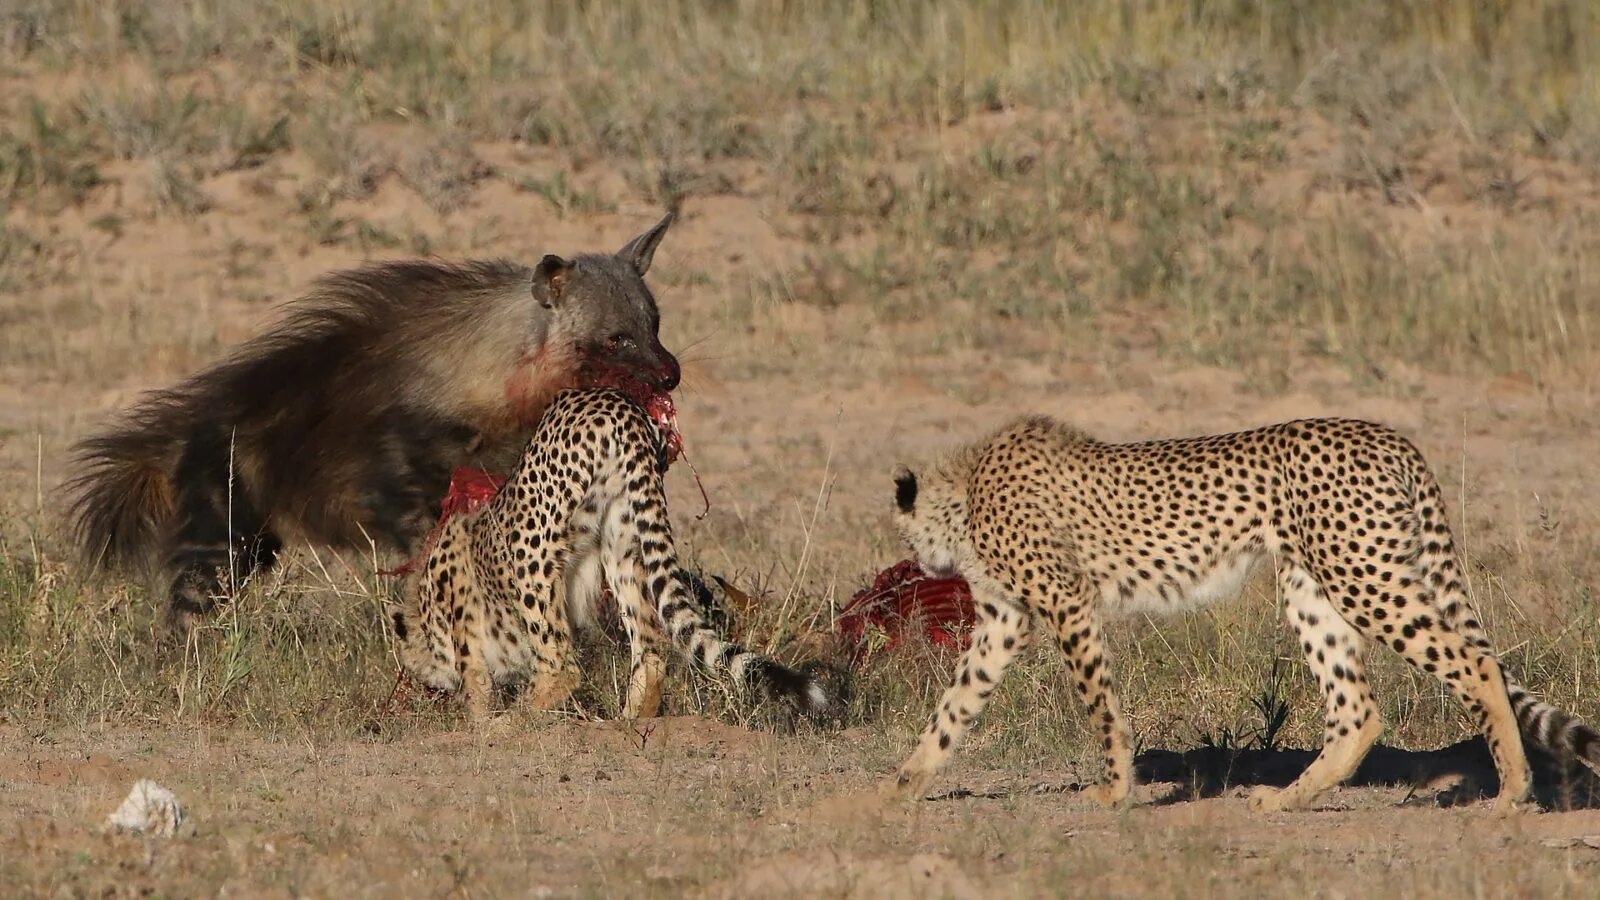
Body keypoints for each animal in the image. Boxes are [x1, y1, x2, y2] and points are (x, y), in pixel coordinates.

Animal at [393, 385, 832, 714]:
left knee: (563, 664)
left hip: (533, 543)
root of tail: (612, 401)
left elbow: (478, 684)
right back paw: (629, 722)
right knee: (651, 650)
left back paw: (524, 717)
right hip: (625, 539)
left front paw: (484, 724)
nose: (425, 687)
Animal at [889, 416, 1600, 810]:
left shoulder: (1068, 604)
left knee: (1476, 663)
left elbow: (1101, 709)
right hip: (1310, 587)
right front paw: (899, 784)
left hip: (1364, 577)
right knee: (1358, 708)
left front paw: (1115, 791)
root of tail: (1386, 434)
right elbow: (954, 707)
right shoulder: (1004, 620)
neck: (967, 489)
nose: (917, 565)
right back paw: (1286, 802)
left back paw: (1511, 792)